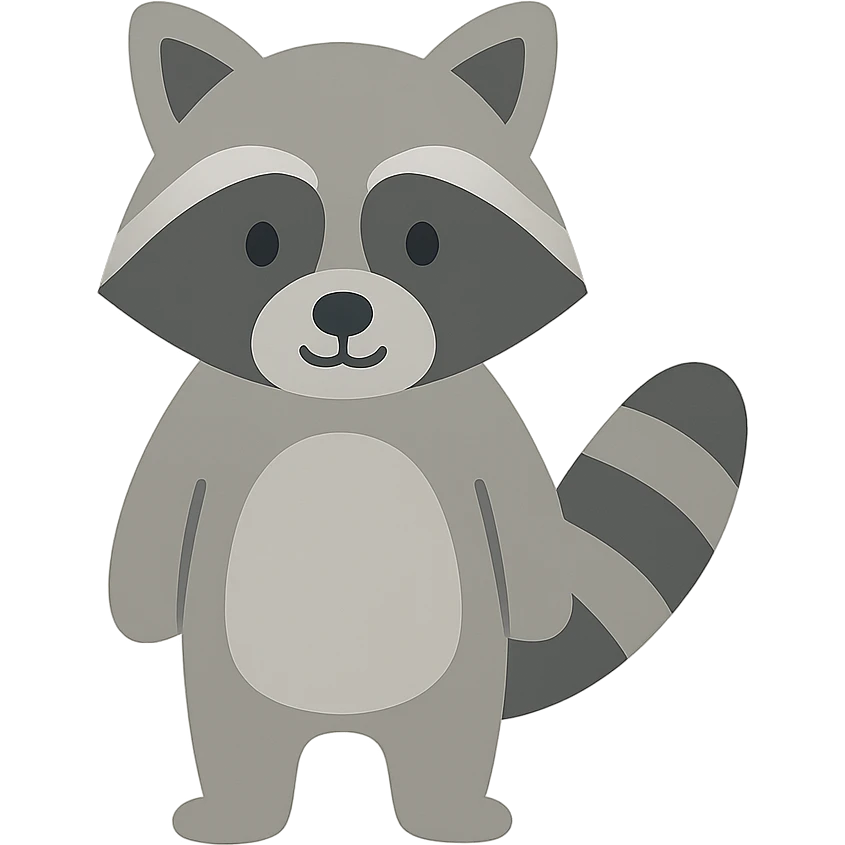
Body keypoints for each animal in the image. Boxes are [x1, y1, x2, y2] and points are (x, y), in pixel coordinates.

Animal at [101, 3, 748, 843]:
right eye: (259, 242)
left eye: (424, 242)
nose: (343, 310)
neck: (345, 406)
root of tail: (343, 721)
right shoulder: (202, 422)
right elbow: (157, 513)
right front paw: (139, 617)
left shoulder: (483, 424)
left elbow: (521, 519)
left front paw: (543, 613)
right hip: (231, 667)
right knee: (237, 733)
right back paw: (237, 811)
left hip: (457, 672)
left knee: (448, 740)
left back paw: (449, 814)